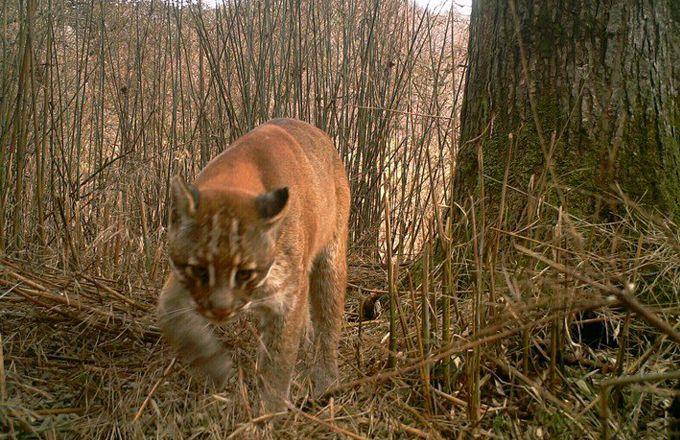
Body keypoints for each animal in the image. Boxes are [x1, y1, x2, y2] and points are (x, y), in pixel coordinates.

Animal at [156, 117, 350, 412]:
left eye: (245, 273)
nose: (221, 310)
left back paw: (326, 383)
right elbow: (174, 320)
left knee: (328, 322)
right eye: (200, 269)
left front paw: (269, 413)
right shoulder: (177, 286)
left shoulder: (288, 295)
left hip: (331, 260)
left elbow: (278, 361)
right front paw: (217, 367)